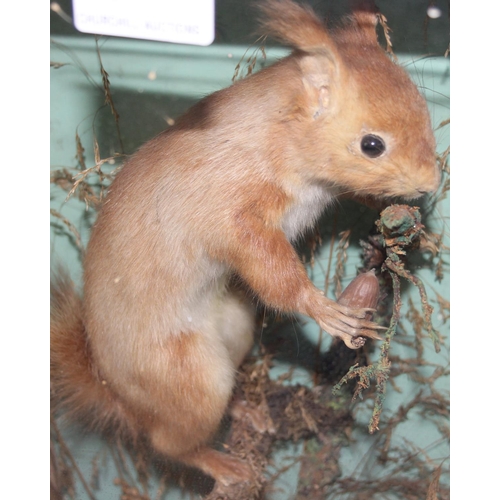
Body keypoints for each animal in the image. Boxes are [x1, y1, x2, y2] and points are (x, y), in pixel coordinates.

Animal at [50, 0, 440, 486]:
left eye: (423, 106)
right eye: (372, 145)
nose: (432, 181)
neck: (274, 133)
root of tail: (116, 394)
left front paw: (405, 221)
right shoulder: (232, 214)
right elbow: (271, 272)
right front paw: (326, 310)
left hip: (235, 328)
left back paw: (247, 411)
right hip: (190, 379)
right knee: (167, 443)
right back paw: (223, 464)